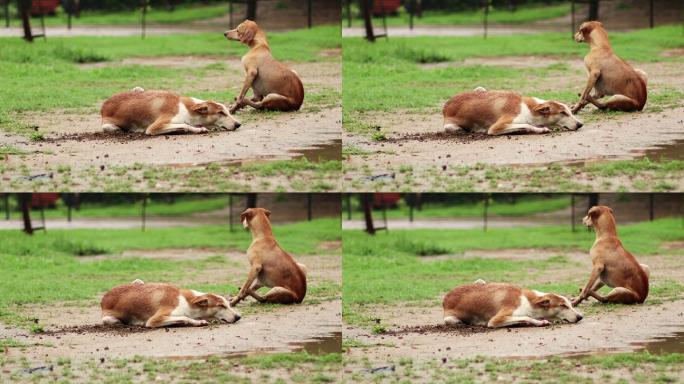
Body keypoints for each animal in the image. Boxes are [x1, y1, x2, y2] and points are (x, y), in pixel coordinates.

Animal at [100, 87, 242, 136]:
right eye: (221, 113)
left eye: (227, 111)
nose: (238, 124)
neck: (187, 108)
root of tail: (104, 105)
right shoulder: (154, 127)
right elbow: (185, 124)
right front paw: (197, 129)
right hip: (108, 126)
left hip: (139, 89)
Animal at [100, 280, 240, 328]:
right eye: (221, 306)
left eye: (228, 304)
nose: (238, 317)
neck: (188, 301)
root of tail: (104, 297)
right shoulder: (154, 320)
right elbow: (185, 317)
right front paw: (198, 322)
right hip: (109, 318)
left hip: (139, 281)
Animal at [444, 87, 584, 136]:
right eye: (563, 113)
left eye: (570, 111)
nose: (580, 124)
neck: (529, 108)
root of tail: (446, 105)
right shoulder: (496, 127)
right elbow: (527, 124)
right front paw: (540, 129)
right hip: (450, 126)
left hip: (481, 89)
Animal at [444, 280, 584, 328]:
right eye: (563, 305)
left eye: (570, 304)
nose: (580, 317)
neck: (529, 301)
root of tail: (446, 296)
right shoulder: (495, 320)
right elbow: (527, 317)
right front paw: (539, 322)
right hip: (450, 319)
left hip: (481, 281)